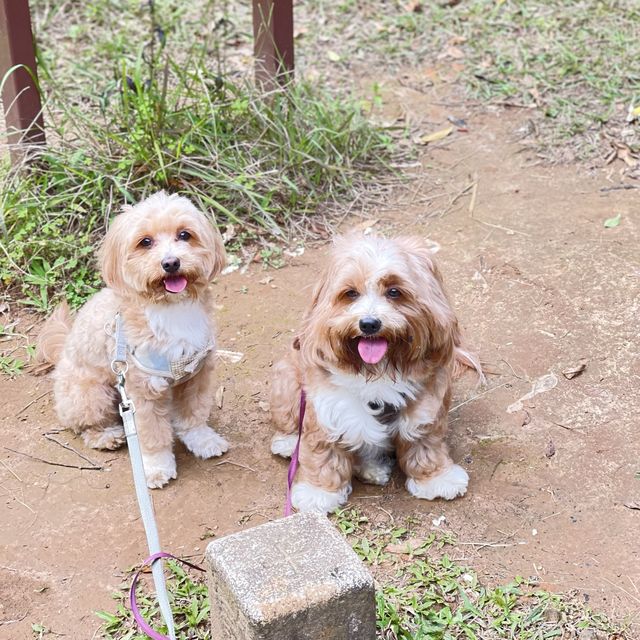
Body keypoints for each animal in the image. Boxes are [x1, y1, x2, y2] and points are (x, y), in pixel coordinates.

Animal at [37, 192, 228, 488]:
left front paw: (203, 440)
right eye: (145, 242)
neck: (171, 310)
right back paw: (107, 436)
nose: (170, 263)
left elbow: (193, 415)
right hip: (93, 394)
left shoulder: (197, 375)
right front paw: (157, 467)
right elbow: (152, 435)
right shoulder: (143, 390)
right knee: (87, 425)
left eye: (184, 235)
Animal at [268, 234, 482, 510]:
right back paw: (288, 443)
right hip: (287, 381)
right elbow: (323, 450)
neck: (378, 369)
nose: (369, 324)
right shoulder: (326, 407)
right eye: (350, 293)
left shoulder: (425, 408)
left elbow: (425, 443)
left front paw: (436, 477)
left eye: (394, 291)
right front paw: (319, 492)